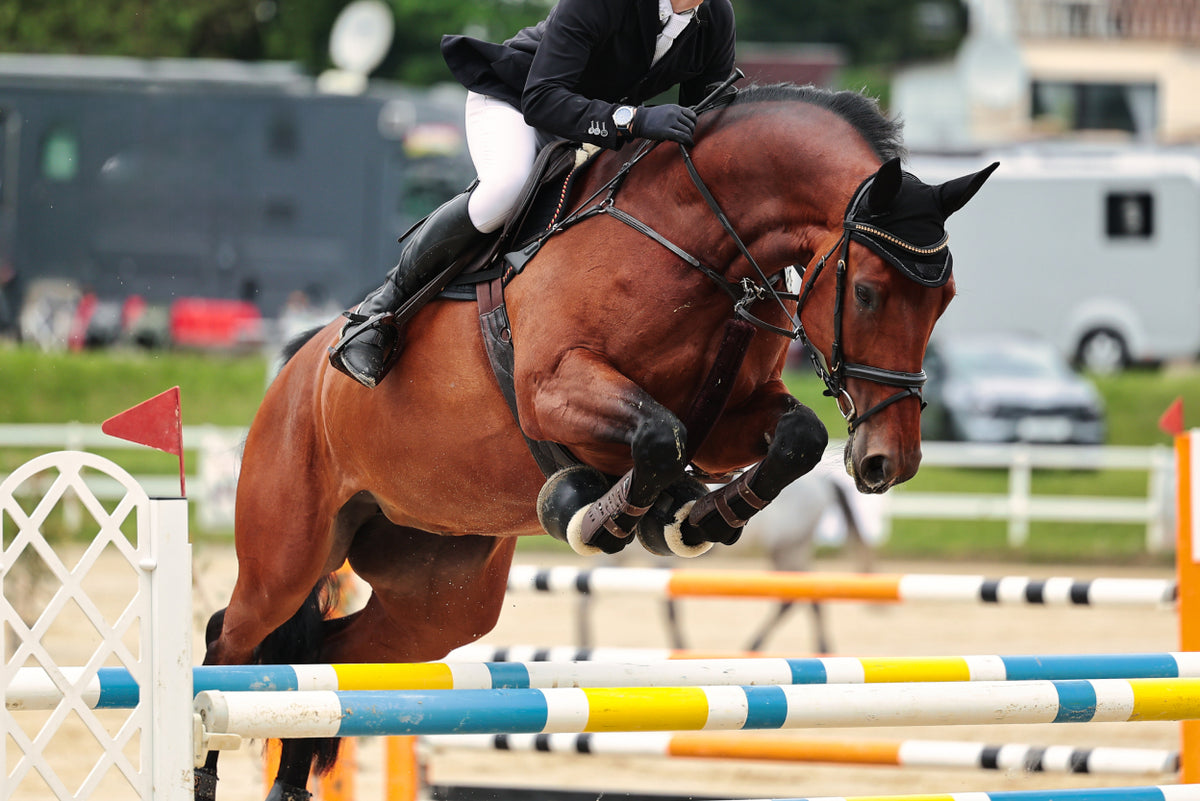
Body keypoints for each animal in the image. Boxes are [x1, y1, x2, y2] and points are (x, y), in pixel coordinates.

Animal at [199, 82, 1003, 801]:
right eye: (866, 291)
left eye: (946, 299)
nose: (888, 461)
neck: (698, 242)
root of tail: (296, 368)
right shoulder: (554, 389)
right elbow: (656, 433)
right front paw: (594, 513)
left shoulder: (730, 419)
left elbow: (792, 436)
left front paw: (695, 517)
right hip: (286, 554)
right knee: (228, 646)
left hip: (438, 597)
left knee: (329, 665)